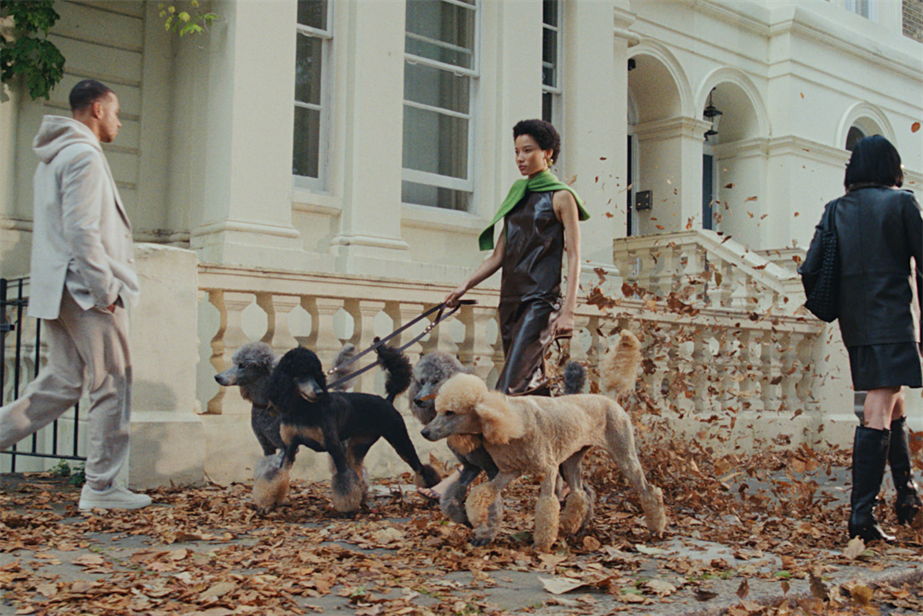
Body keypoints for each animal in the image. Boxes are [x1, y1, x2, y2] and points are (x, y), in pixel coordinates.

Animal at [422, 332, 668, 552]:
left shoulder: (547, 469)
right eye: (438, 410)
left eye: (451, 412)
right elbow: (481, 493)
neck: (511, 420)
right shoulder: (508, 471)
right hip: (571, 461)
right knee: (579, 495)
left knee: (648, 490)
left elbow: (547, 506)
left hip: (623, 454)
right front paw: (474, 519)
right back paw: (569, 527)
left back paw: (656, 528)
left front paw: (541, 544)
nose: (425, 432)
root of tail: (610, 398)